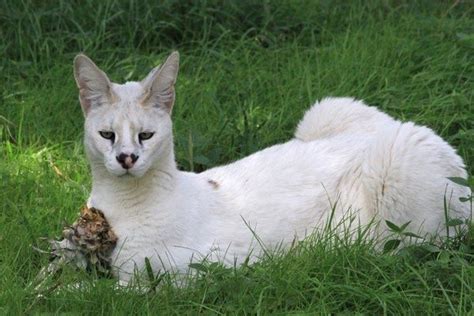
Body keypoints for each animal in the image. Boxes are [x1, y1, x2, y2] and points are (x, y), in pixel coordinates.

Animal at [73, 51, 470, 282]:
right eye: (107, 135)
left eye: (146, 135)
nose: (126, 158)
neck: (121, 206)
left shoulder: (199, 268)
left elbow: (107, 292)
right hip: (325, 109)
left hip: (402, 182)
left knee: (416, 247)